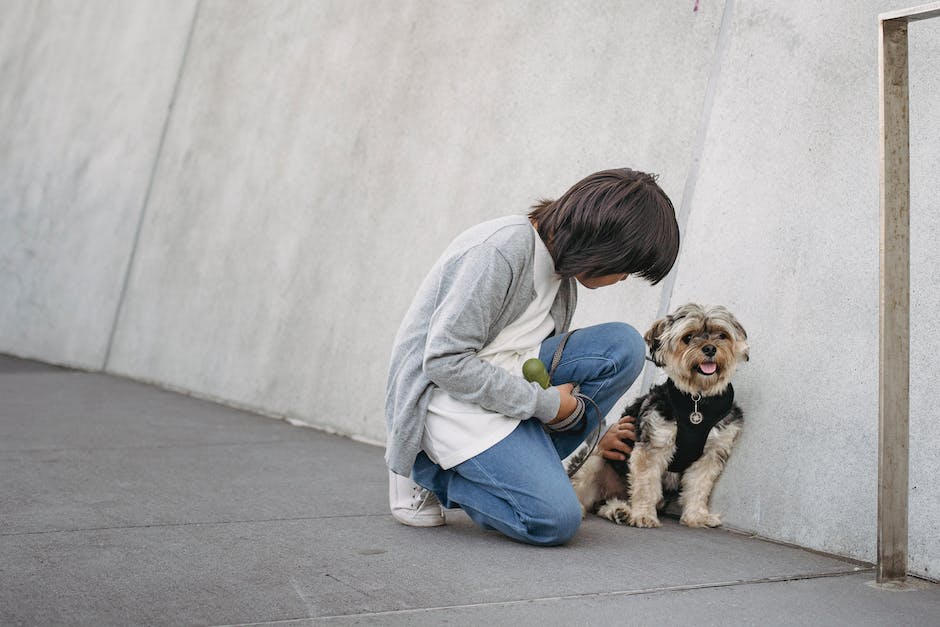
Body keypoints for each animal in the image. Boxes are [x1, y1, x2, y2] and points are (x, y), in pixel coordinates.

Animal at [568, 304, 752, 528]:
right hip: (594, 459)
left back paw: (619, 511)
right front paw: (643, 515)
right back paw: (585, 508)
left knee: (606, 503)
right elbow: (646, 485)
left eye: (722, 335)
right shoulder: (653, 445)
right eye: (688, 338)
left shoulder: (711, 454)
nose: (710, 349)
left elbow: (699, 486)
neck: (697, 400)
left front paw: (697, 516)